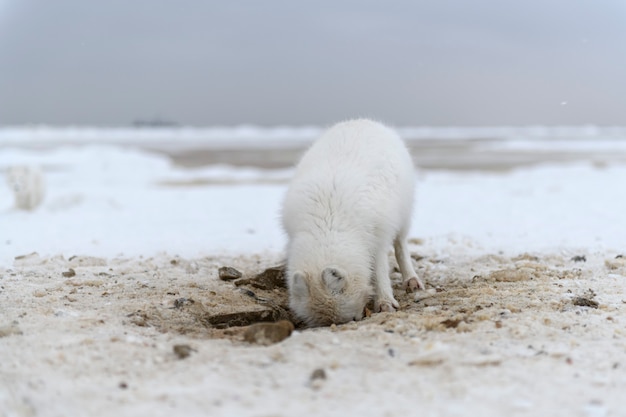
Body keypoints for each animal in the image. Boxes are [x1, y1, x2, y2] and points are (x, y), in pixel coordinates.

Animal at [282, 117, 424, 324]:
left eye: (352, 319)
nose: (361, 316)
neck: (329, 223)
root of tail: (363, 120)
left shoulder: (378, 236)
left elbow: (380, 271)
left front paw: (385, 303)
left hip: (404, 216)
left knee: (401, 247)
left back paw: (411, 280)